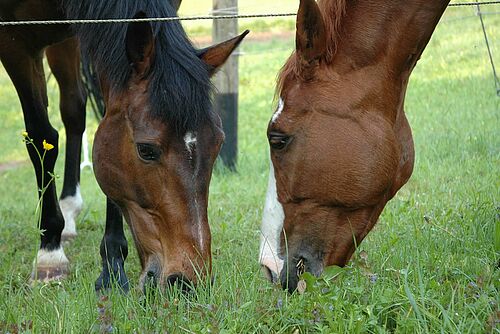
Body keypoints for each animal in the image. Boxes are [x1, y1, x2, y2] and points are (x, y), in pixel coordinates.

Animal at [0, 0, 248, 290]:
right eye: (146, 150)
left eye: (218, 143)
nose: (187, 280)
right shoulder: (14, 42)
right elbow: (41, 136)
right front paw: (49, 255)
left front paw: (112, 263)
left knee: (74, 109)